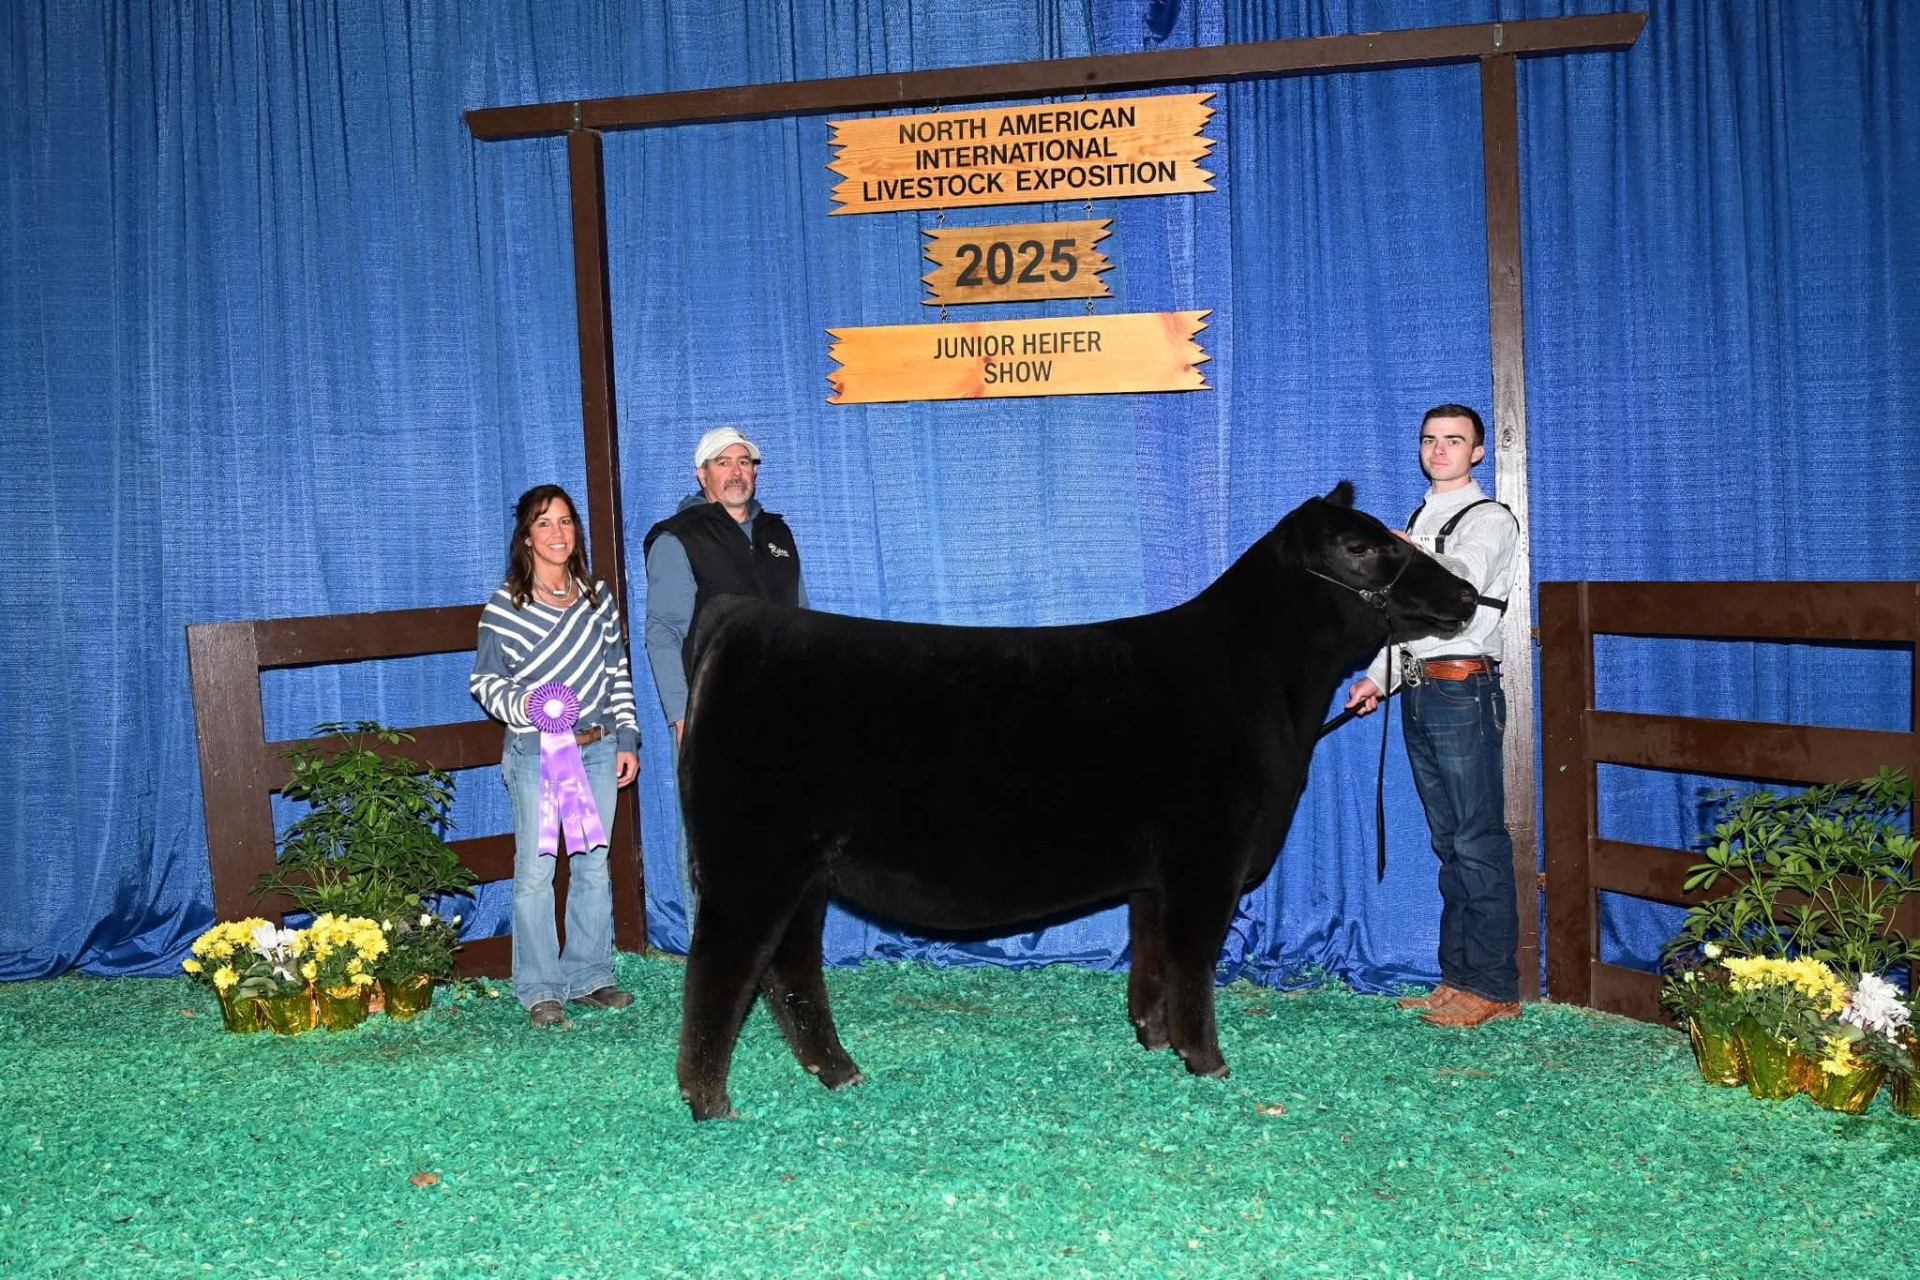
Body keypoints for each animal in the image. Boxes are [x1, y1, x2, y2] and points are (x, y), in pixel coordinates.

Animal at [673, 482, 1479, 1119]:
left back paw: (839, 1074)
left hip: (806, 871)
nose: (1468, 595)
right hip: (752, 863)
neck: (1264, 686)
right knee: (721, 969)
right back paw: (710, 1103)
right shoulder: (1208, 856)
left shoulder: (1158, 874)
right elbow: (1193, 959)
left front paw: (1154, 1040)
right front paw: (1207, 1061)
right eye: (1361, 546)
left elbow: (1152, 953)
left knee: (789, 970)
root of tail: (737, 620)